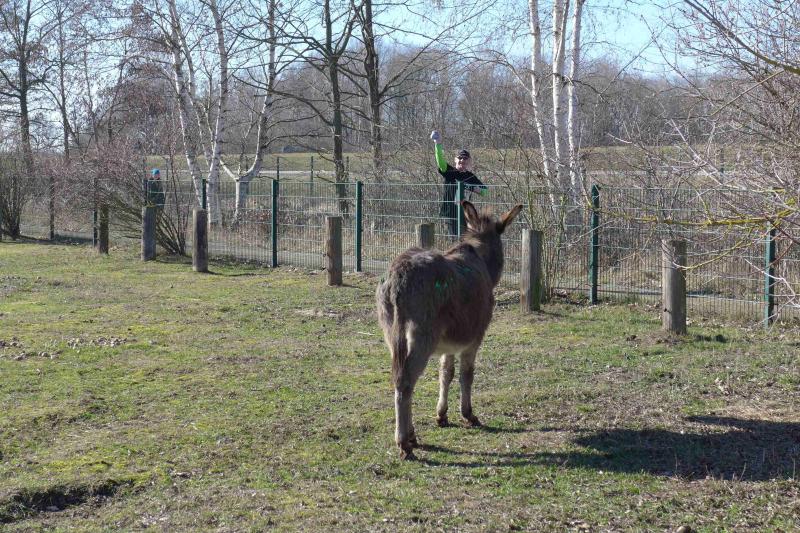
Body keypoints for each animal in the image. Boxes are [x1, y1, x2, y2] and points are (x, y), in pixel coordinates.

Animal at [376, 200, 523, 459]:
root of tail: (398, 276)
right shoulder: (474, 338)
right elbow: (467, 374)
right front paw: (468, 414)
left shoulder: (448, 344)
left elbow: (446, 373)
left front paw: (442, 415)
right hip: (423, 335)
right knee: (406, 380)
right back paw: (405, 442)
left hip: (392, 333)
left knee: (400, 377)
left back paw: (410, 435)